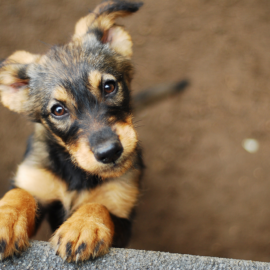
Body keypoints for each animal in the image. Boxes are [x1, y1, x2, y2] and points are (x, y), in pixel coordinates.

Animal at [0, 0, 144, 262]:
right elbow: (19, 194)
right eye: (58, 110)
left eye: (109, 86)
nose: (109, 152)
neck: (76, 172)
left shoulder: (122, 216)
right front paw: (6, 218)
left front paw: (83, 226)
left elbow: (98, 205)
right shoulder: (35, 180)